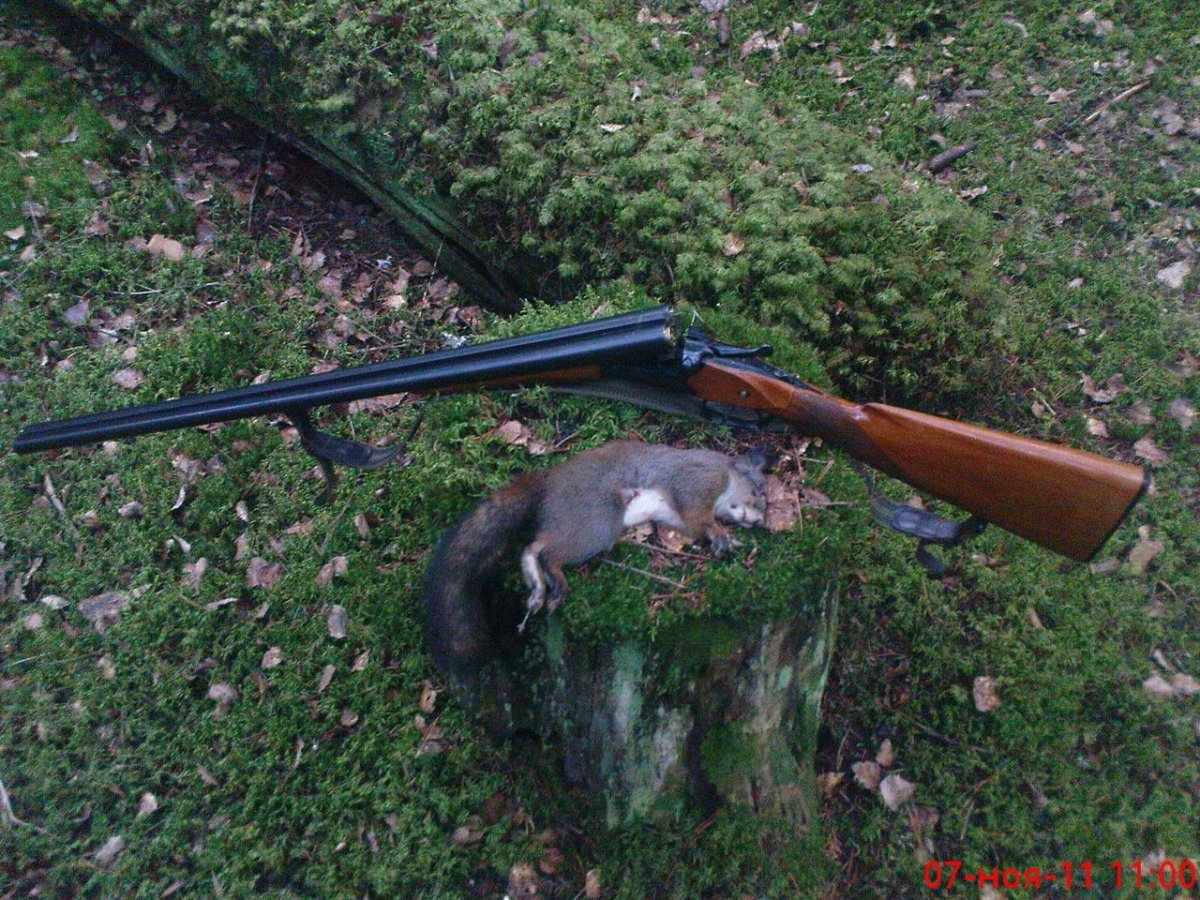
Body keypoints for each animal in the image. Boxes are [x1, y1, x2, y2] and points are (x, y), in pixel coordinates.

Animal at [423, 440, 769, 680]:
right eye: (757, 491)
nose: (758, 521)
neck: (724, 477)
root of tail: (551, 480)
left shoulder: (678, 517)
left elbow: (692, 525)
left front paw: (721, 536)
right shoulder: (696, 480)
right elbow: (698, 512)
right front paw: (720, 532)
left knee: (535, 545)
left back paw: (538, 584)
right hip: (597, 522)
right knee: (547, 550)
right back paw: (553, 578)